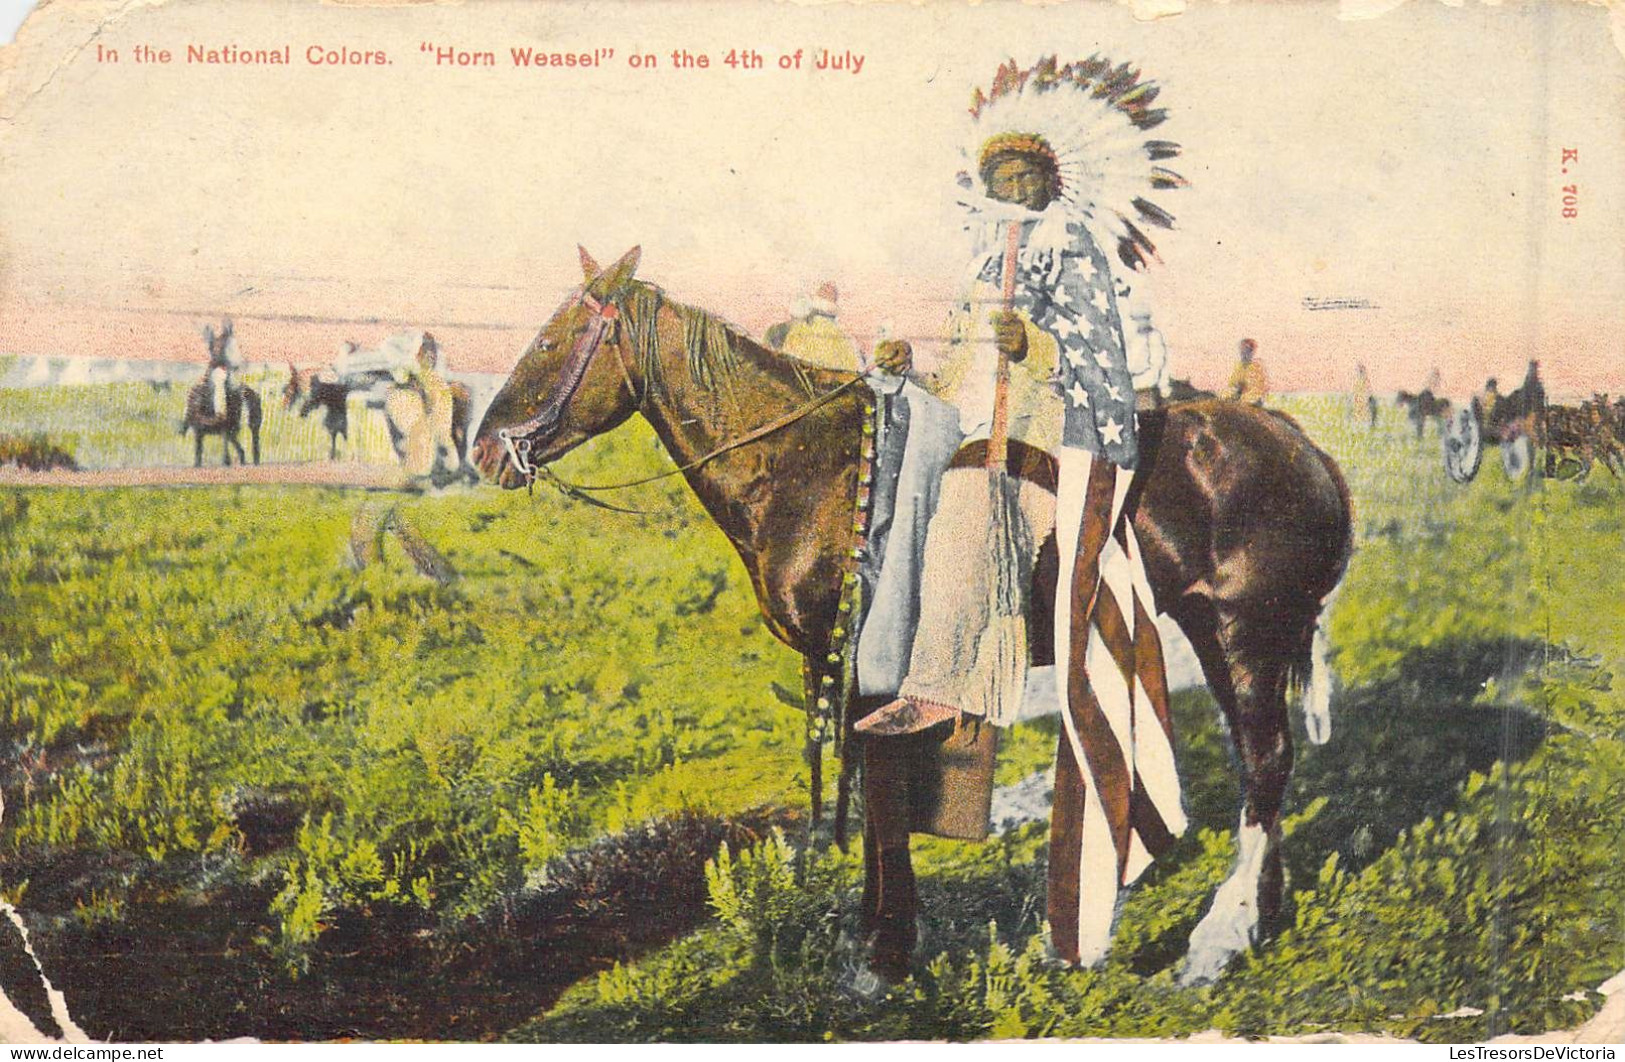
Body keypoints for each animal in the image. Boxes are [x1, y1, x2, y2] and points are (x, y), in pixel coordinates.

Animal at [474, 250, 1358, 987]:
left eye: (551, 342)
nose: (483, 450)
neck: (807, 470)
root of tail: (1295, 442)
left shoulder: (871, 678)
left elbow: (884, 804)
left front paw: (886, 952)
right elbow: (872, 800)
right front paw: (873, 936)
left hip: (1243, 635)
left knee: (1266, 760)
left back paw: (1219, 937)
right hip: (1226, 636)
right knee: (1261, 763)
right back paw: (1259, 915)